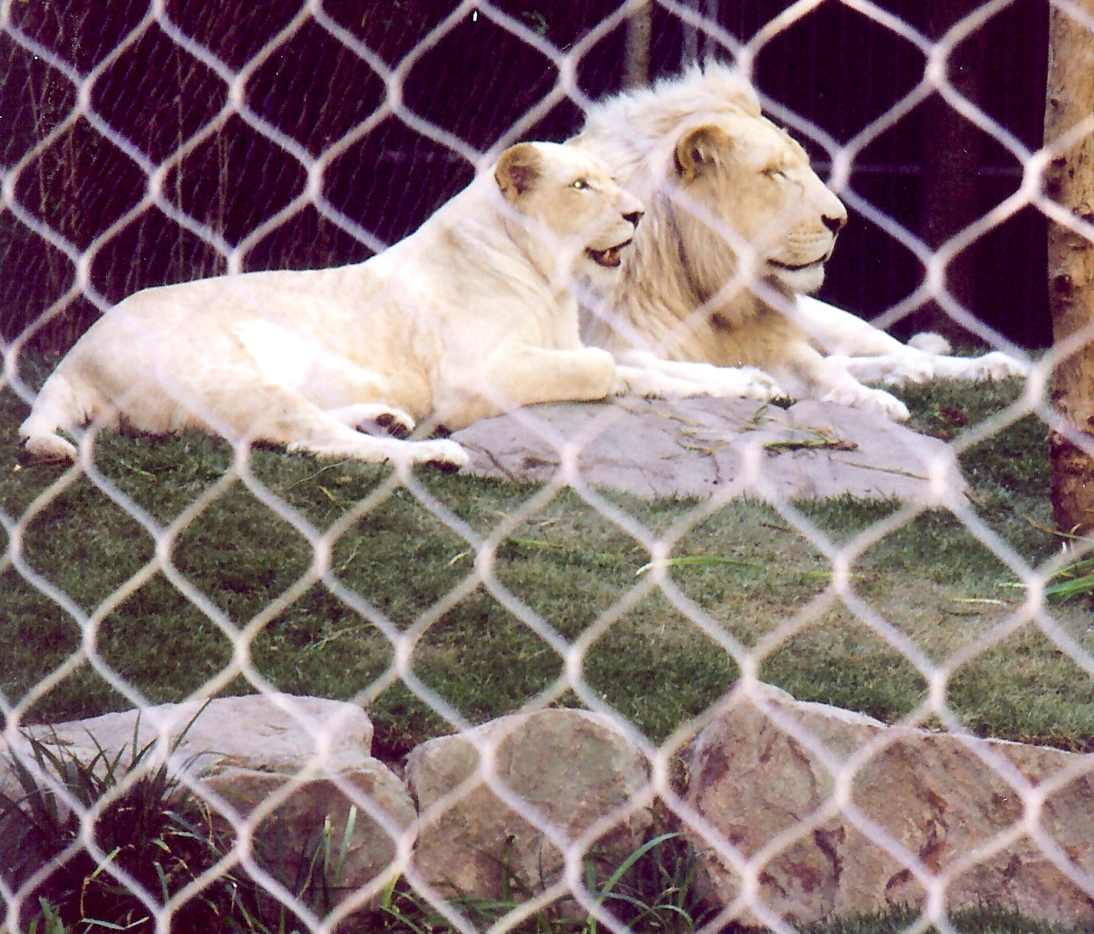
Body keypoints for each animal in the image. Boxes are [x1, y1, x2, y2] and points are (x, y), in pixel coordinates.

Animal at [19, 142, 651, 469]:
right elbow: (599, 364)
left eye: (608, 179)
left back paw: (388, 418)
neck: (551, 278)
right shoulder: (472, 379)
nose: (639, 213)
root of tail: (77, 356)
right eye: (580, 187)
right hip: (234, 377)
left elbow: (640, 364)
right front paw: (616, 379)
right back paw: (434, 450)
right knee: (315, 439)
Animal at [570, 62, 1029, 421]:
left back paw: (987, 367)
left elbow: (822, 372)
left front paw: (875, 402)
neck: (707, 284)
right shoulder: (615, 341)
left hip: (836, 322)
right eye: (776, 173)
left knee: (898, 352)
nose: (840, 220)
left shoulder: (777, 340)